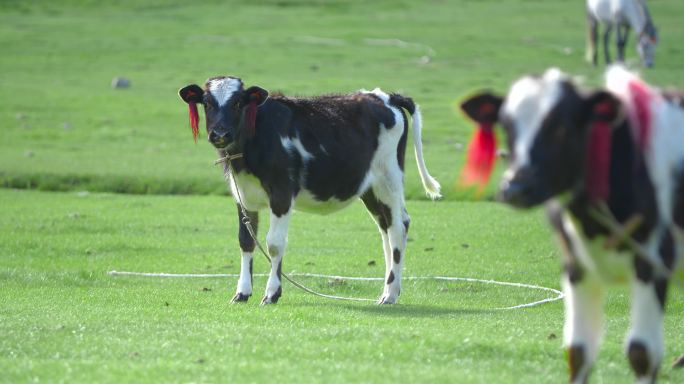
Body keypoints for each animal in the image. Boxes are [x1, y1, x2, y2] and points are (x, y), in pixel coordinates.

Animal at [179, 76, 440, 306]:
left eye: (237, 103)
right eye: (207, 103)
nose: (220, 134)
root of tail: (385, 96)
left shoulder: (282, 194)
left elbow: (274, 244)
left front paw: (272, 293)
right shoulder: (242, 195)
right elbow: (246, 241)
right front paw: (242, 293)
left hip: (389, 179)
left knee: (398, 227)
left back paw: (390, 294)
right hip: (370, 188)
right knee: (386, 229)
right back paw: (387, 290)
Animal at [460, 67, 684, 382]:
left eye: (560, 127)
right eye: (506, 125)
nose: (515, 188)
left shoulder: (653, 261)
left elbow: (642, 352)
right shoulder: (575, 266)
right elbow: (578, 352)